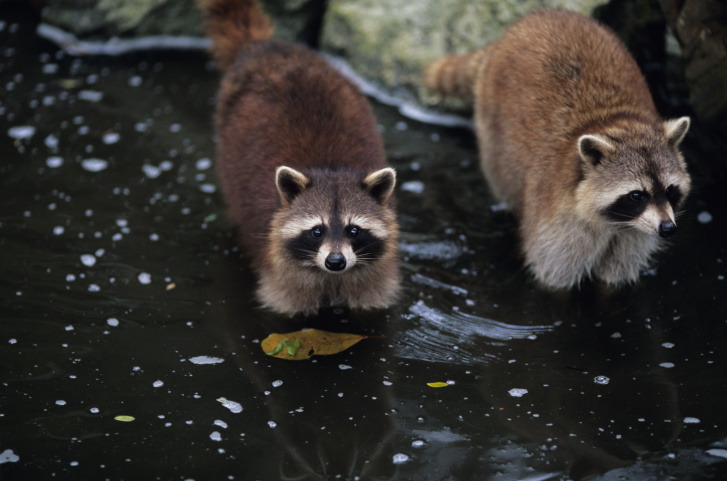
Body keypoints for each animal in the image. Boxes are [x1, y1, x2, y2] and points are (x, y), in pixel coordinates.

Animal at [202, 0, 400, 315]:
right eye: (317, 231)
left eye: (354, 230)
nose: (336, 262)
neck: (331, 169)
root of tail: (267, 48)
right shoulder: (279, 271)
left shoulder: (374, 274)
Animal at [424, 9, 691, 289]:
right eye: (637, 195)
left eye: (670, 190)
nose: (667, 229)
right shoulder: (557, 223)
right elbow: (554, 279)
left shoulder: (633, 237)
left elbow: (614, 280)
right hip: (492, 134)